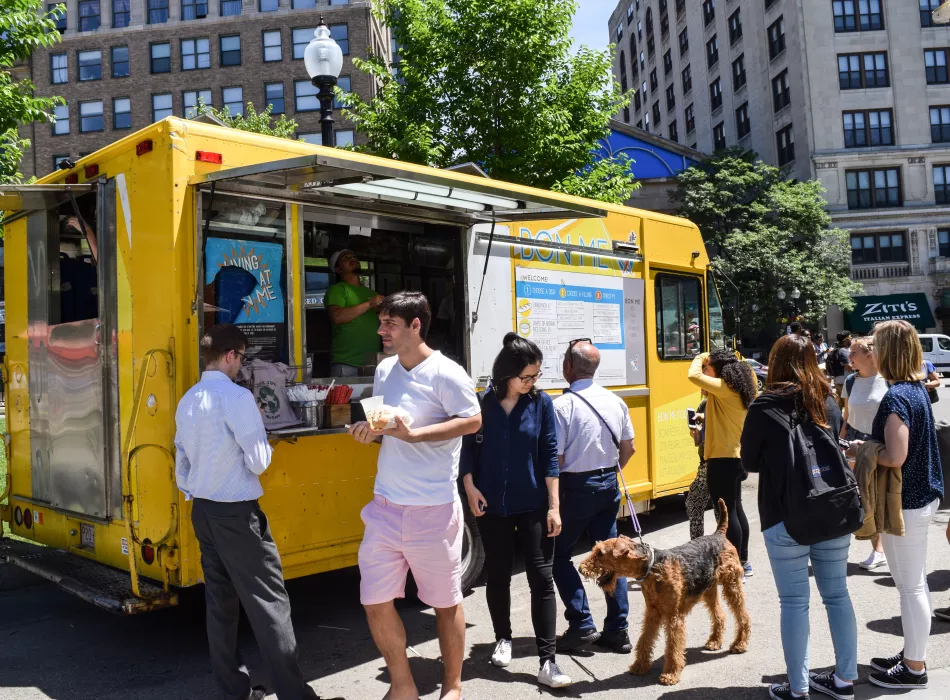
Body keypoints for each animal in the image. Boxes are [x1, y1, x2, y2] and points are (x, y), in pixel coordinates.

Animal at [580, 500, 752, 688]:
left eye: (600, 553)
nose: (581, 568)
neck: (651, 568)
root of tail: (719, 534)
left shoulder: (673, 616)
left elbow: (673, 645)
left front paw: (670, 674)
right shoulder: (652, 611)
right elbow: (645, 639)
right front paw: (639, 666)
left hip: (732, 585)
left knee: (743, 615)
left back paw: (739, 644)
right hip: (709, 590)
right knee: (719, 615)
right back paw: (714, 642)